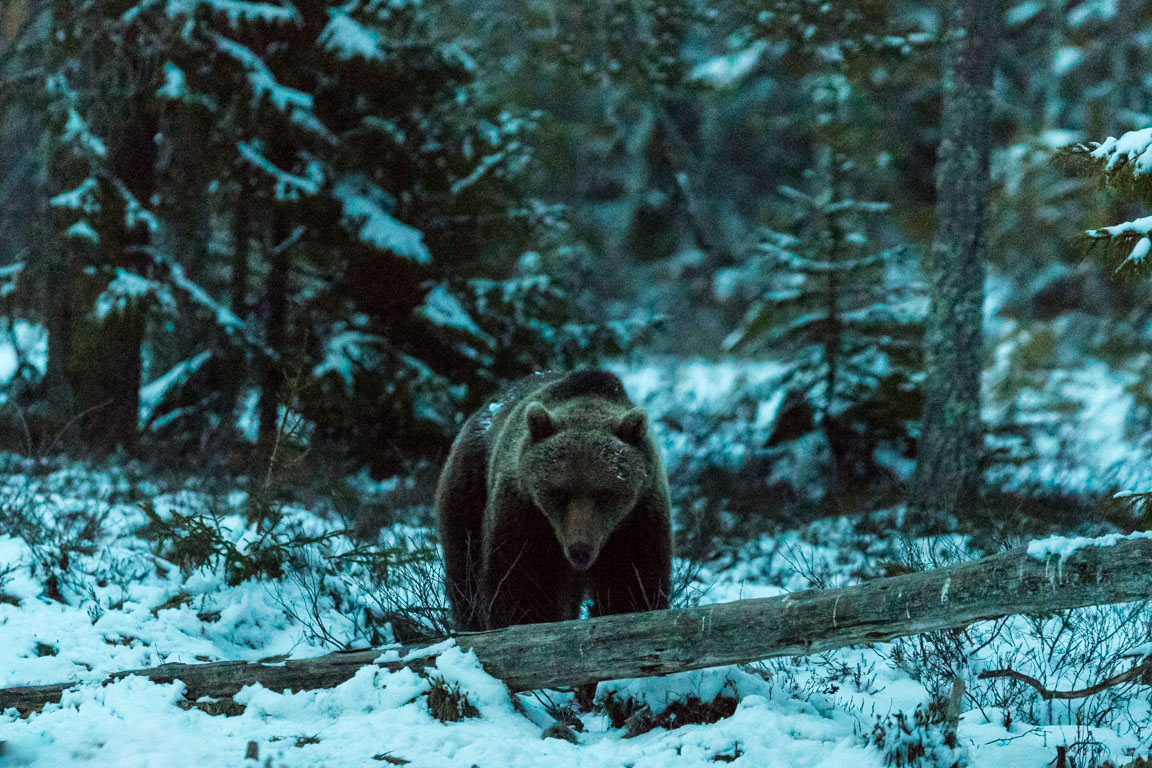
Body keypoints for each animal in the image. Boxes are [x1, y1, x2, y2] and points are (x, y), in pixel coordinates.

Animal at [433, 370, 672, 630]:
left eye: (605, 493)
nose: (580, 550)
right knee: (465, 571)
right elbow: (522, 583)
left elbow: (632, 584)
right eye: (560, 491)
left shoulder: (638, 518)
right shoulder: (524, 513)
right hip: (468, 493)